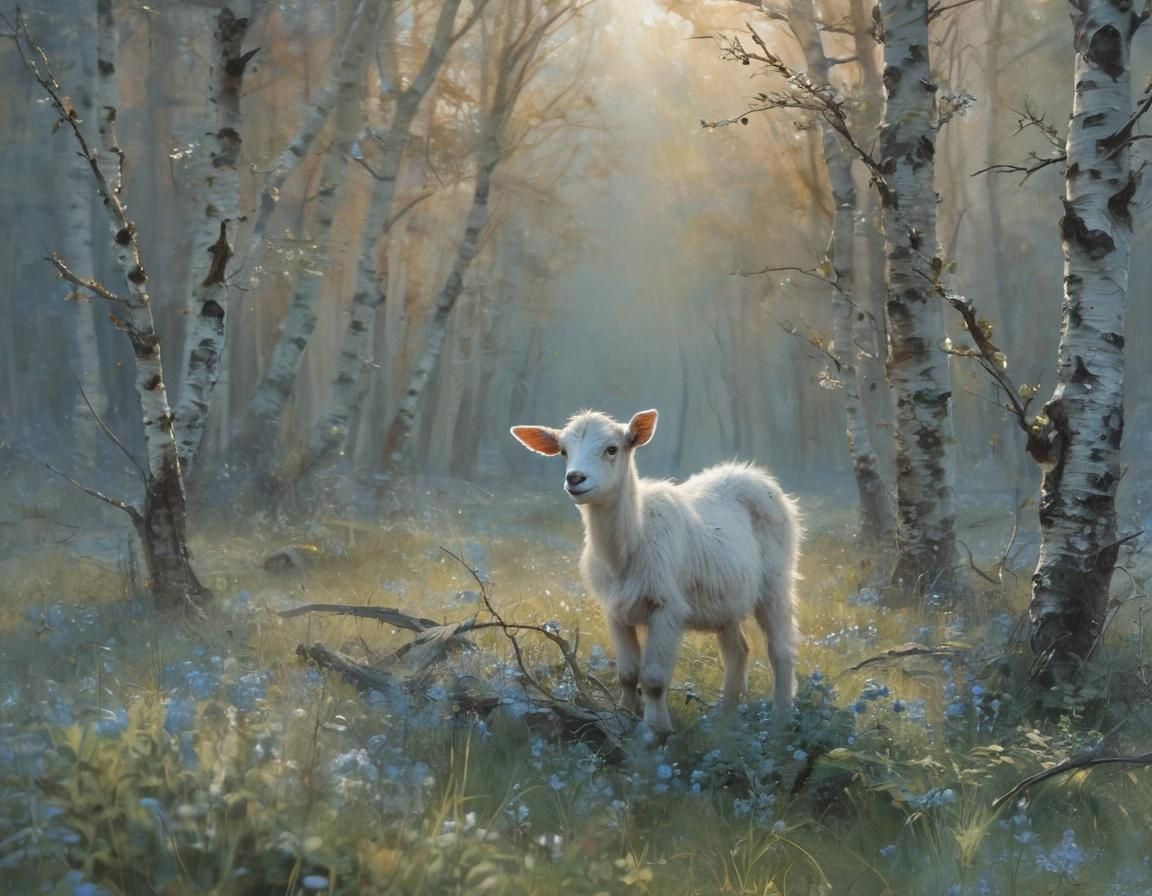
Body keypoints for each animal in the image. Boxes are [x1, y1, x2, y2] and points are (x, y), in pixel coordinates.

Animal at [511, 409, 801, 734]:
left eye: (612, 449)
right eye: (563, 451)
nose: (575, 478)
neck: (630, 542)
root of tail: (751, 473)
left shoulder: (666, 608)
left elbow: (652, 679)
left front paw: (657, 730)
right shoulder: (614, 610)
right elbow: (627, 673)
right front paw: (625, 717)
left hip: (777, 580)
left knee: (781, 650)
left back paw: (781, 718)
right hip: (725, 597)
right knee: (738, 651)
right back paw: (724, 720)